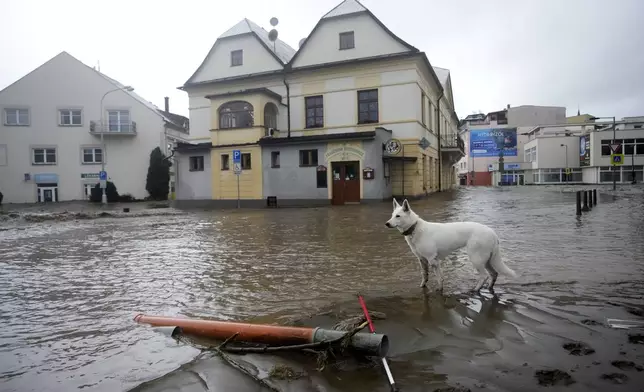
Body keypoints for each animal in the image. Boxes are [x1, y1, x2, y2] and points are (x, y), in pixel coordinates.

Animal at [384, 199, 516, 290]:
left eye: (398, 216)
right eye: (392, 215)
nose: (387, 223)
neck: (414, 228)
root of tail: (492, 233)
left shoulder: (433, 261)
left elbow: (439, 278)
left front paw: (439, 290)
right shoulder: (422, 260)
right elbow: (425, 275)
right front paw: (423, 286)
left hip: (476, 259)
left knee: (484, 276)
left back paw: (476, 290)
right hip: (487, 260)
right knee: (494, 274)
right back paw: (489, 287)